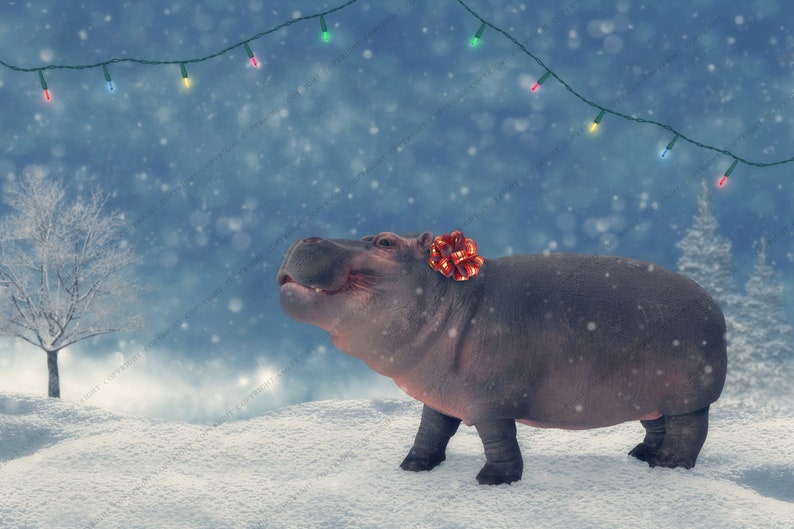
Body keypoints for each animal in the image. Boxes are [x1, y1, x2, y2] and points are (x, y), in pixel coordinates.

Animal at [277, 231, 727, 485]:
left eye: (385, 241)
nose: (306, 237)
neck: (448, 295)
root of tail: (714, 305)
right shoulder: (439, 396)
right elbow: (430, 430)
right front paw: (413, 466)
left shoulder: (490, 402)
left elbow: (497, 440)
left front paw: (493, 481)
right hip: (649, 397)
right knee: (656, 426)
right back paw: (641, 455)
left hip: (689, 396)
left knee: (689, 431)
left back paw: (668, 466)